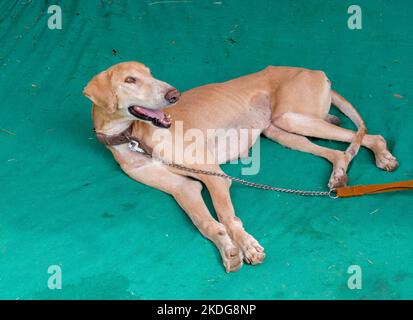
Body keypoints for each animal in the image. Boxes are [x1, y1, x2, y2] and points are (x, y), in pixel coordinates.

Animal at [83, 61, 396, 272]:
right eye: (130, 79)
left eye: (150, 73)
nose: (174, 94)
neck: (132, 136)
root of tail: (314, 71)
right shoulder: (183, 187)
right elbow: (205, 222)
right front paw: (227, 249)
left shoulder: (215, 176)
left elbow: (227, 216)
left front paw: (246, 245)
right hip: (279, 129)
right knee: (339, 153)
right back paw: (339, 174)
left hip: (292, 117)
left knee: (371, 137)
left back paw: (383, 156)